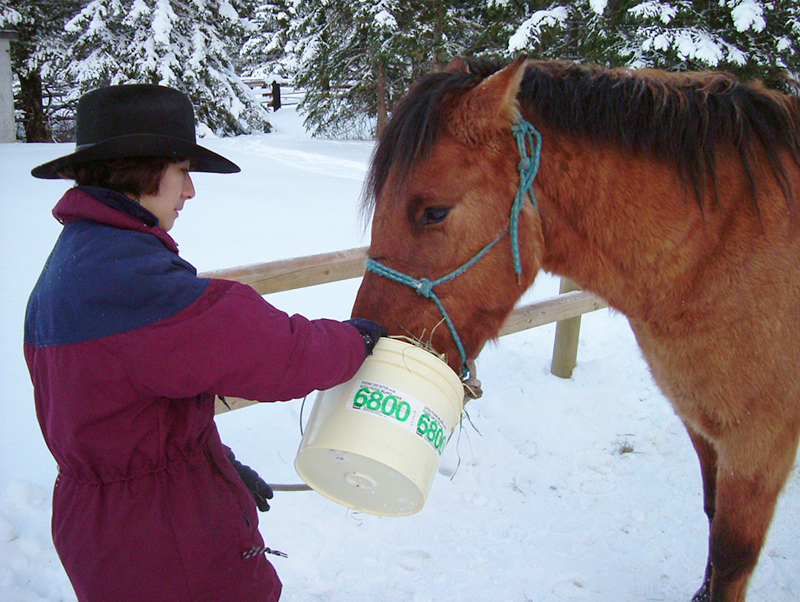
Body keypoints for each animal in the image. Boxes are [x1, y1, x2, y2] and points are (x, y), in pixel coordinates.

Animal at [351, 55, 800, 602]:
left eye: (433, 212)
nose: (367, 333)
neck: (723, 251)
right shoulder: (703, 426)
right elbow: (712, 524)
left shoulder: (760, 445)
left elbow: (732, 558)